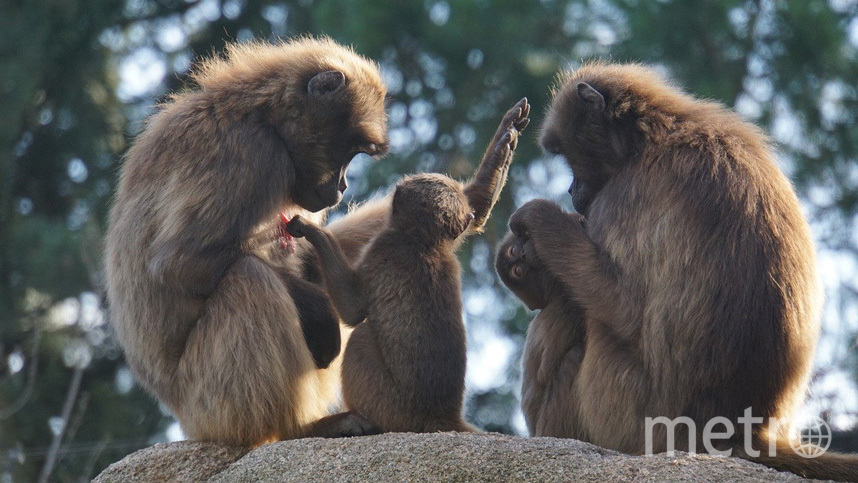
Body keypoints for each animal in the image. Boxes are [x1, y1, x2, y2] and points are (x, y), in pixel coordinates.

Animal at [286, 175, 474, 434]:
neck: (425, 242)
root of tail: (441, 415)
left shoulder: (382, 246)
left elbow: (353, 311)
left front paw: (313, 232)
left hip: (392, 408)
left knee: (361, 335)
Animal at [494, 62, 856, 482]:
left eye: (569, 155)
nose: (570, 190)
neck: (652, 137)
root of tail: (739, 433)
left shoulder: (621, 196)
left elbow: (621, 306)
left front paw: (538, 218)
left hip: (631, 414)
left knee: (580, 323)